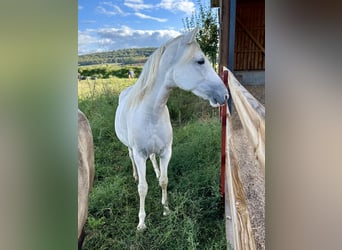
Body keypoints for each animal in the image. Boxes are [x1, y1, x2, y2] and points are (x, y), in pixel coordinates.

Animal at [113, 27, 228, 230]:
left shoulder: (166, 151)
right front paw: (141, 222)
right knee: (131, 158)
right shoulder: (140, 153)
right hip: (130, 149)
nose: (225, 95)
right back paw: (135, 175)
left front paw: (166, 210)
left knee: (153, 160)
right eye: (200, 60)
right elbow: (143, 188)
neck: (151, 113)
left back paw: (157, 171)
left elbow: (164, 181)